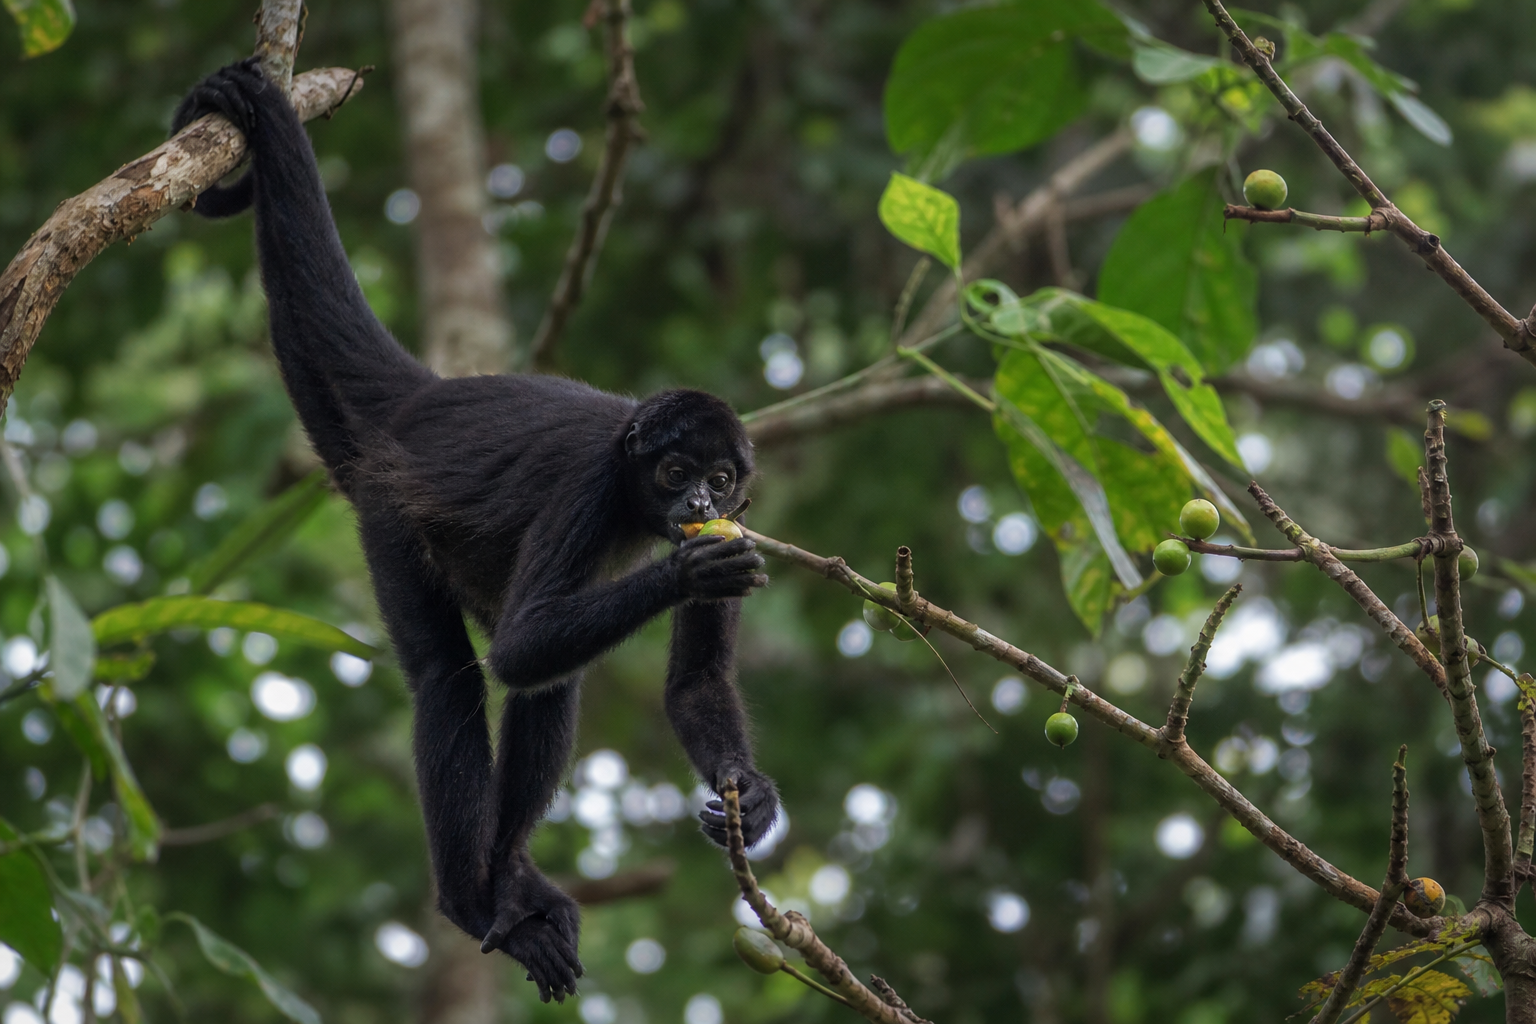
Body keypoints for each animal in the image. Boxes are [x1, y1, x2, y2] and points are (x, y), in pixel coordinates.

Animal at [171, 59, 782, 1003]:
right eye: (674, 472)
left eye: (720, 480)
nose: (694, 507)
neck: (631, 486)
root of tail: (422, 399)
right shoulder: (585, 488)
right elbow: (521, 648)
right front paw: (690, 574)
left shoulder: (738, 519)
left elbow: (691, 683)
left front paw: (748, 792)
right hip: (391, 517)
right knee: (453, 677)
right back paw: (472, 898)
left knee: (549, 685)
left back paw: (515, 881)